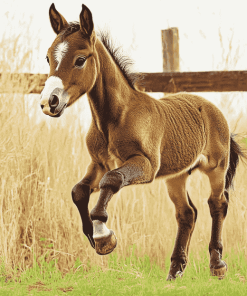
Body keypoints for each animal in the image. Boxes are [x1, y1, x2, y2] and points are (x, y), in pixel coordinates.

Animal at [40, 2, 245, 280]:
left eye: (80, 60)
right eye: (48, 58)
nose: (49, 102)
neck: (115, 118)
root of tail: (212, 109)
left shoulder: (145, 165)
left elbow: (112, 180)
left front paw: (103, 236)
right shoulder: (98, 163)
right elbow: (79, 190)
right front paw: (93, 236)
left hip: (217, 168)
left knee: (217, 204)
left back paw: (217, 265)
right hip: (176, 176)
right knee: (187, 213)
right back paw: (174, 271)